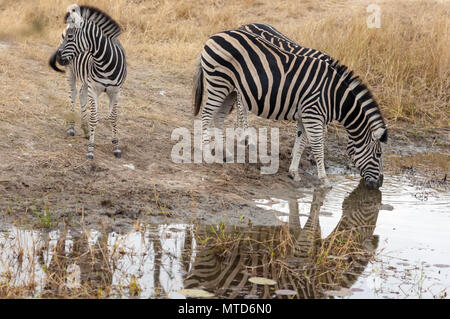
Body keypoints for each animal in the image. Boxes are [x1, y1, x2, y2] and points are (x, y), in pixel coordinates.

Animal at [49, 4, 126, 159]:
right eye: (66, 36)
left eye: (71, 37)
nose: (58, 59)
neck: (105, 62)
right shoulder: (94, 89)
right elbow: (94, 118)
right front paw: (90, 149)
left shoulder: (115, 92)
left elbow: (114, 118)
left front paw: (116, 147)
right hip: (71, 72)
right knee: (73, 94)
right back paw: (71, 128)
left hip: (86, 80)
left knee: (82, 94)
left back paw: (85, 130)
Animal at [193, 28, 386, 190]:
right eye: (378, 155)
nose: (380, 184)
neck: (334, 95)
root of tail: (214, 36)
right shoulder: (313, 115)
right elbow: (317, 146)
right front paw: (324, 180)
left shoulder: (305, 116)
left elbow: (301, 141)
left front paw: (294, 172)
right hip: (219, 83)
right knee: (206, 115)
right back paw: (207, 153)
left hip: (230, 90)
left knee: (218, 116)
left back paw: (223, 153)